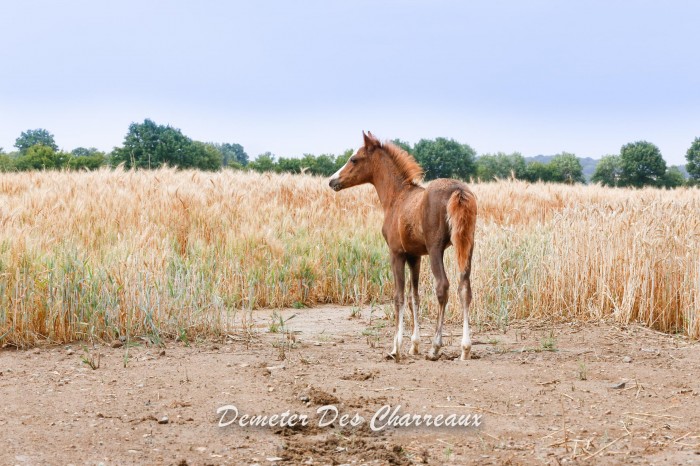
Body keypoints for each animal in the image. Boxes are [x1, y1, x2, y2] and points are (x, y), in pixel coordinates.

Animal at [328, 131, 476, 360]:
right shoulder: (415, 256)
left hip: (436, 250)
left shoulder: (396, 253)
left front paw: (395, 348)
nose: (332, 181)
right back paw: (465, 348)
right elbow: (414, 296)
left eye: (354, 159)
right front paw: (414, 345)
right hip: (467, 245)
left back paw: (435, 347)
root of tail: (458, 190)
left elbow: (398, 296)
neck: (396, 197)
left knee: (443, 287)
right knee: (465, 288)